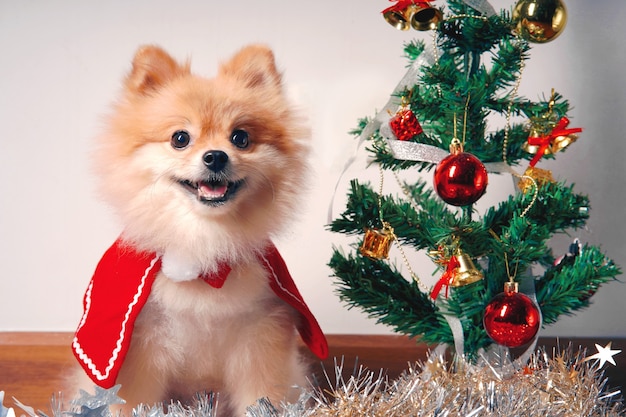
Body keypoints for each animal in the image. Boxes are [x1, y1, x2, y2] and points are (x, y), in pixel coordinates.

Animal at [70, 44, 326, 414]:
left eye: (240, 138)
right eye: (180, 138)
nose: (216, 156)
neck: (204, 244)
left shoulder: (259, 336)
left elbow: (261, 397)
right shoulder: (137, 345)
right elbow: (129, 401)